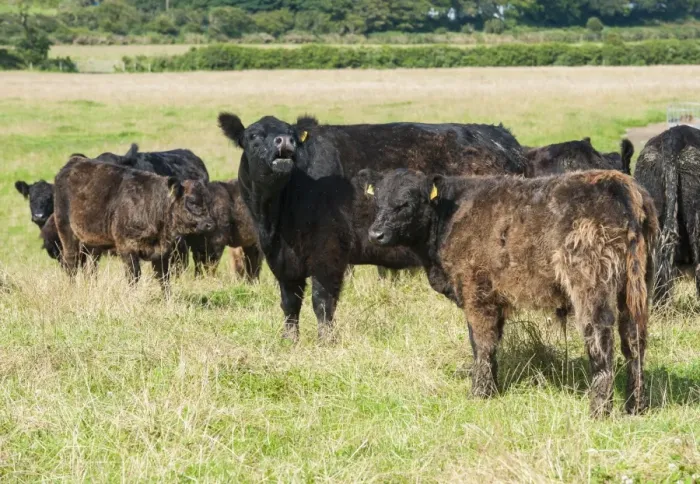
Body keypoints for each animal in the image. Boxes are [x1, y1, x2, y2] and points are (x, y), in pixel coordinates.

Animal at [53, 157, 214, 294]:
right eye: (192, 202)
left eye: (208, 201)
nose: (209, 224)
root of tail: (74, 162)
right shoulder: (127, 247)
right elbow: (134, 276)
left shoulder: (161, 252)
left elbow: (164, 278)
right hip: (66, 231)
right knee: (71, 262)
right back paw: (72, 289)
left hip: (93, 241)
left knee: (91, 265)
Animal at [218, 113, 423, 341]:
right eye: (253, 135)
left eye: (292, 134)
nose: (285, 140)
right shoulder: (280, 259)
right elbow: (289, 302)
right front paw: (290, 339)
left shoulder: (328, 252)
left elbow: (322, 301)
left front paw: (326, 340)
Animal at [365, 169, 658, 417]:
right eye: (377, 201)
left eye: (406, 203)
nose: (375, 234)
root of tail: (617, 181)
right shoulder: (495, 299)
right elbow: (492, 344)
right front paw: (492, 389)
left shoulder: (476, 293)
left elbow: (480, 343)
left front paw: (478, 394)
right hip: (636, 286)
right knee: (634, 340)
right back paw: (635, 407)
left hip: (591, 284)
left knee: (601, 338)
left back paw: (599, 411)